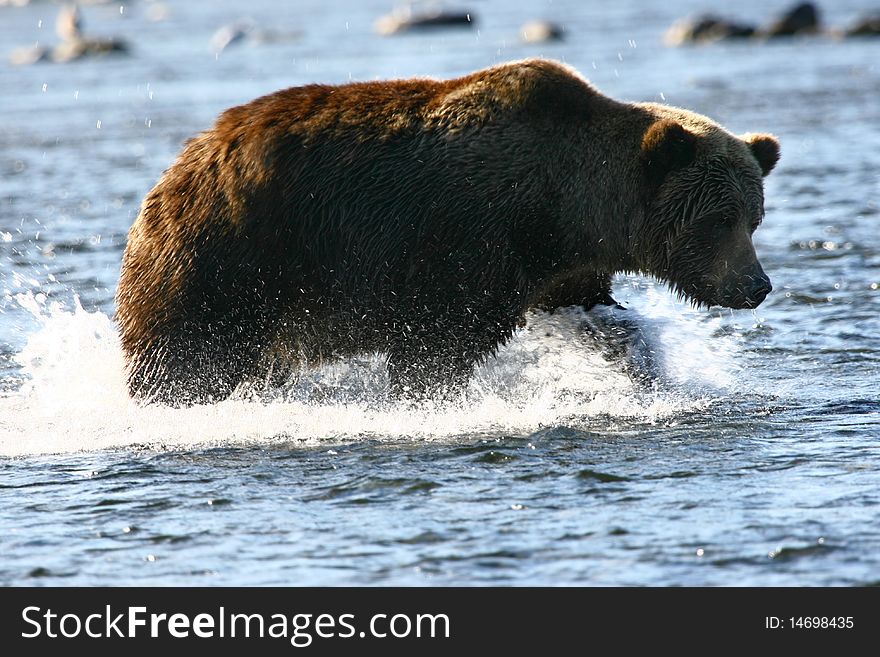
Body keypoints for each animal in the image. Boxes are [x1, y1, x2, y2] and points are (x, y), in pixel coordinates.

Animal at [115, 57, 776, 404]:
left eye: (754, 218)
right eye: (716, 220)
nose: (756, 285)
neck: (567, 210)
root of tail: (180, 167)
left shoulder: (559, 271)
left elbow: (598, 318)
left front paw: (647, 370)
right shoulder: (465, 243)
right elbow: (438, 341)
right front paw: (428, 399)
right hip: (228, 256)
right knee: (187, 354)